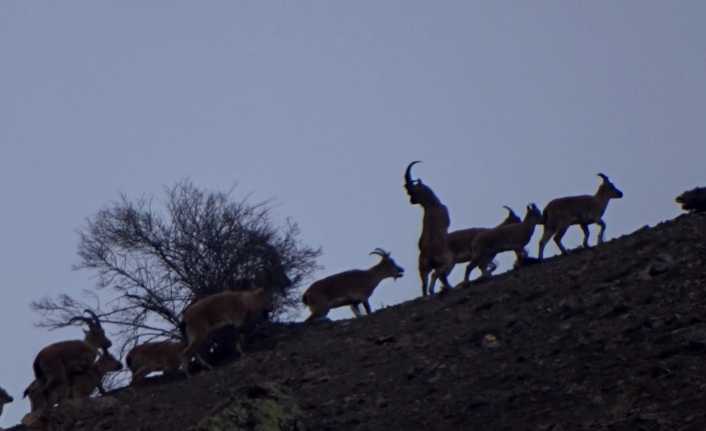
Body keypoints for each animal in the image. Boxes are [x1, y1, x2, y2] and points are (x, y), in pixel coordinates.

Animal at [404, 162, 454, 296]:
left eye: (412, 192)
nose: (411, 201)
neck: (431, 205)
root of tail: (431, 255)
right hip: (448, 262)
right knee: (436, 274)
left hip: (422, 266)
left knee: (424, 282)